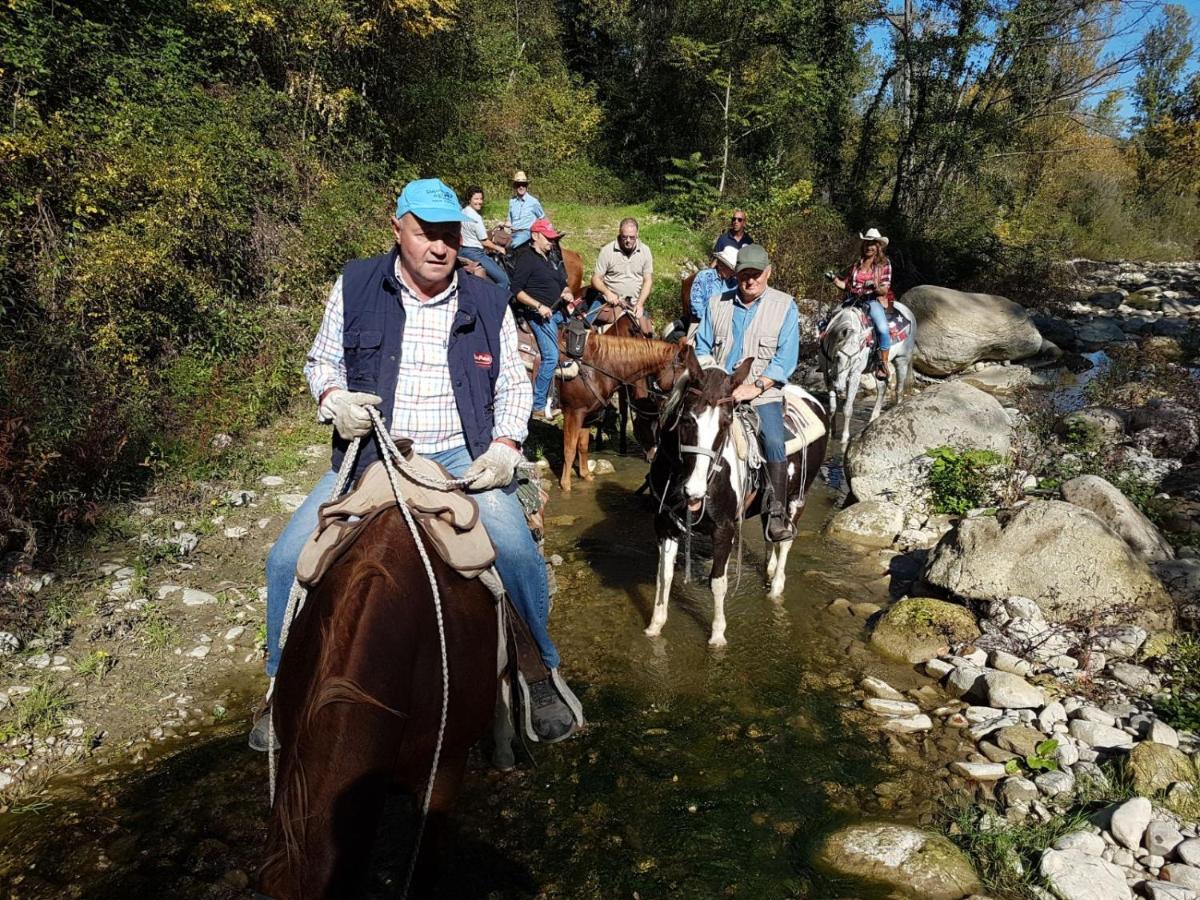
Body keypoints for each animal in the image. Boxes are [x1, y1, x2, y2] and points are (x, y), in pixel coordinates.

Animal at [556, 336, 691, 494]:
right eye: (646, 425)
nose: (653, 455)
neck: (596, 368)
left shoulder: (587, 416)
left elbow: (583, 446)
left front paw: (585, 475)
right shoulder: (573, 413)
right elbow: (569, 449)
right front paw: (565, 485)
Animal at [643, 352, 830, 648]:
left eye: (726, 423)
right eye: (687, 420)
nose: (694, 491)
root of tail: (814, 402)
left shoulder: (724, 529)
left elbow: (718, 582)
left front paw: (718, 635)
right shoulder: (665, 525)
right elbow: (664, 575)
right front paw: (655, 626)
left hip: (798, 498)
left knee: (786, 541)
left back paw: (776, 587)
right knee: (770, 533)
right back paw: (769, 568)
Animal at [820, 301, 912, 446]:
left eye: (856, 358)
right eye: (838, 356)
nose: (839, 386)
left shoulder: (854, 375)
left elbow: (847, 408)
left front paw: (844, 438)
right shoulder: (827, 376)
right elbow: (832, 407)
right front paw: (830, 433)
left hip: (902, 360)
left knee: (899, 390)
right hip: (877, 370)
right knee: (882, 389)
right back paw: (872, 420)